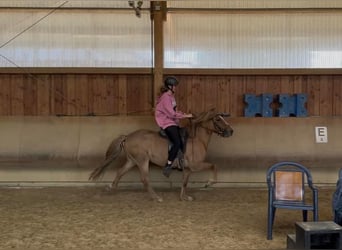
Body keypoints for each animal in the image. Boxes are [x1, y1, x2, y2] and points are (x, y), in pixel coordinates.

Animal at [88, 108, 234, 202]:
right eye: (217, 119)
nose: (231, 131)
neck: (196, 140)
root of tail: (128, 137)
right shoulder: (195, 165)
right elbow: (214, 166)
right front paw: (209, 183)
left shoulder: (187, 169)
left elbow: (185, 182)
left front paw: (184, 197)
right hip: (142, 161)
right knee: (145, 179)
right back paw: (156, 197)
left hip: (132, 161)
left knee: (120, 172)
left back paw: (111, 188)